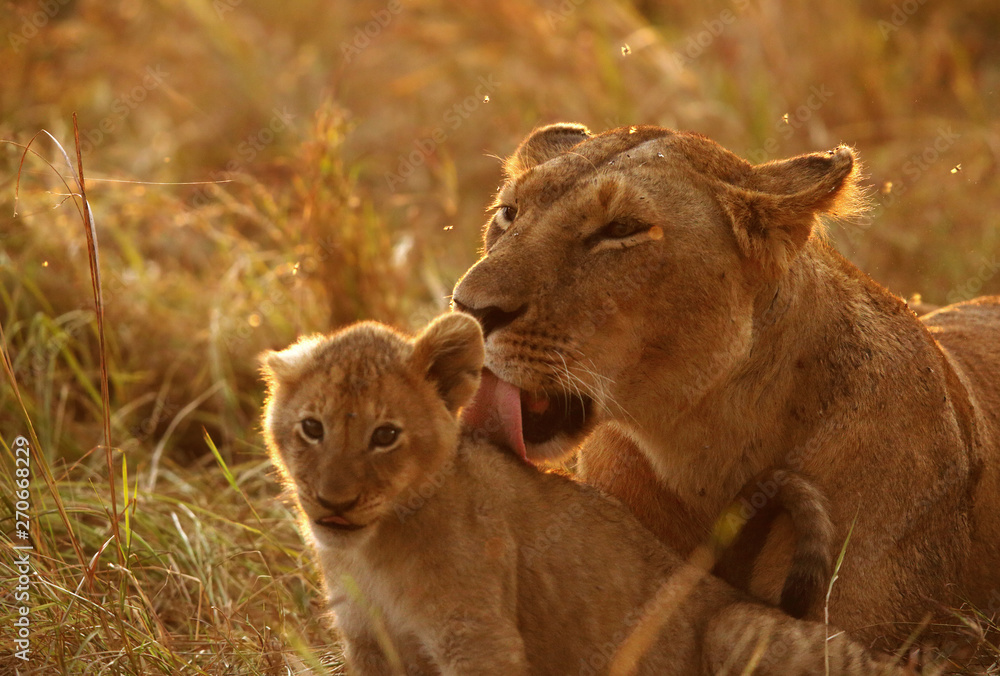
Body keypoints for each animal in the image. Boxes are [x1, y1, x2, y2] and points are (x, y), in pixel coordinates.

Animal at [260, 313, 910, 675]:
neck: (373, 552)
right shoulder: (370, 646)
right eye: (312, 428)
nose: (333, 502)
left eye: (385, 435)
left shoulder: (479, 640)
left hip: (734, 627)